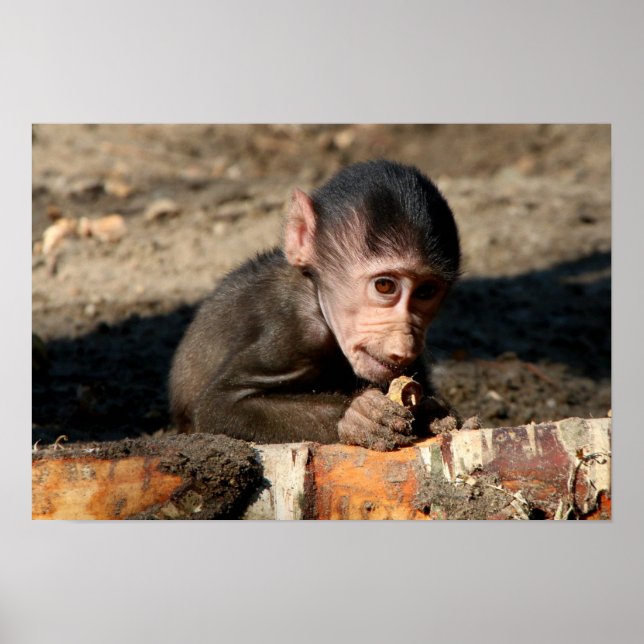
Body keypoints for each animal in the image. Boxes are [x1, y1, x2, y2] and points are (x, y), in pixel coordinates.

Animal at [169, 160, 460, 451]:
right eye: (385, 286)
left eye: (426, 292)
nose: (403, 347)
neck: (316, 295)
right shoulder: (295, 332)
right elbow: (219, 406)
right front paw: (358, 416)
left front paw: (434, 412)